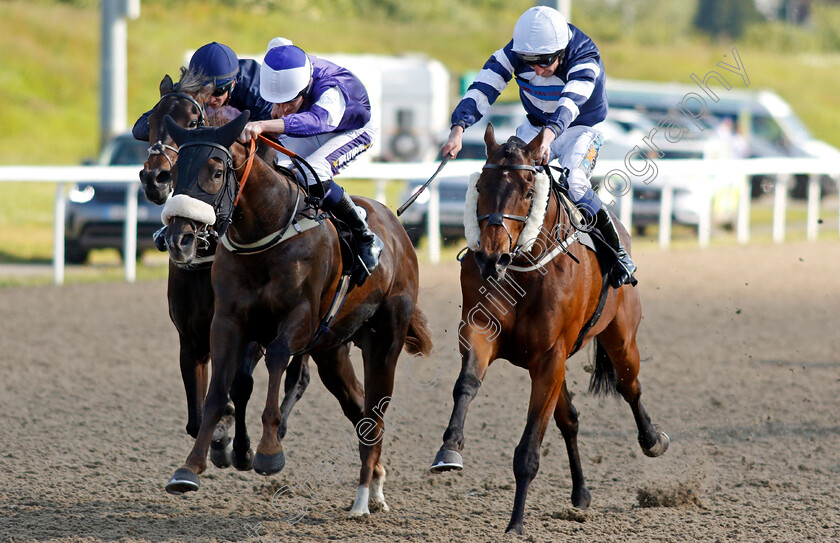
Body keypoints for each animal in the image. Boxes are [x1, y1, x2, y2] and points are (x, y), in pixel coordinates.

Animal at [141, 69, 312, 468]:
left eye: (192, 121)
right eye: (151, 122)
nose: (154, 179)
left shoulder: (249, 332)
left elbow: (241, 385)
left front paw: (243, 447)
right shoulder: (191, 337)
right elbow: (196, 414)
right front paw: (218, 437)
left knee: (298, 375)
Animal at [159, 111, 434, 520]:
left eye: (216, 171)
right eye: (176, 170)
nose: (180, 239)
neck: (266, 232)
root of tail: (397, 229)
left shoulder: (299, 320)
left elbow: (276, 360)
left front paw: (269, 452)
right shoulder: (226, 323)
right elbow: (218, 391)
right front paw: (190, 467)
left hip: (385, 341)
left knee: (375, 410)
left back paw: (362, 500)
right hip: (332, 352)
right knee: (359, 407)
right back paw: (375, 485)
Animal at [430, 123, 668, 536]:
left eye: (529, 191)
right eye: (481, 186)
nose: (490, 257)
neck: (524, 268)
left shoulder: (550, 357)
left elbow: (529, 448)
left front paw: (515, 524)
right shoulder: (480, 331)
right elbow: (467, 384)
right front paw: (450, 448)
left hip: (621, 338)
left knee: (630, 386)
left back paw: (652, 440)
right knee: (569, 419)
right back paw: (580, 493)